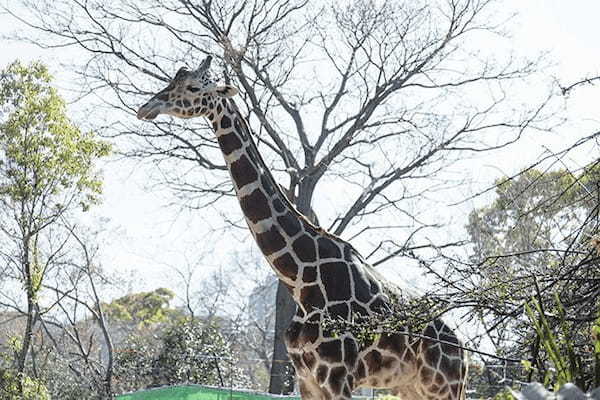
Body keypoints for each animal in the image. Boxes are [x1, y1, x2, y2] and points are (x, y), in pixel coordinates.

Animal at [137, 56, 468, 400]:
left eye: (192, 87)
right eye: (172, 81)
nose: (146, 107)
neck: (300, 281)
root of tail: (463, 347)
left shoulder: (337, 376)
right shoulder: (306, 377)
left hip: (444, 386)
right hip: (412, 388)